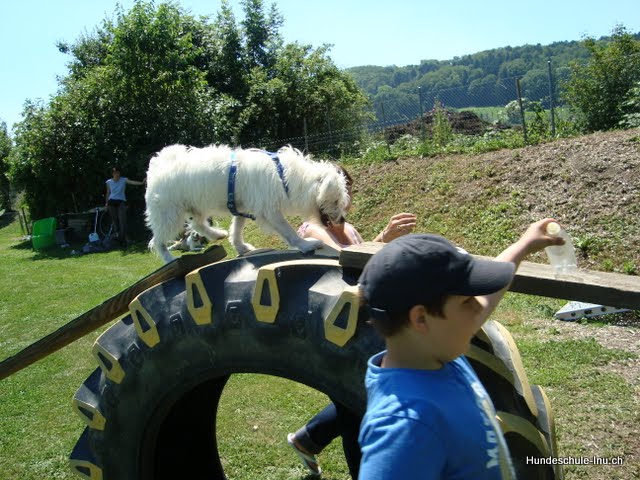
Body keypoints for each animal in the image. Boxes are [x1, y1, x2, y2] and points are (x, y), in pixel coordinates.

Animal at [145, 145, 350, 263]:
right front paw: (305, 245)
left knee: (197, 225)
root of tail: (158, 167)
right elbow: (288, 231)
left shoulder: (241, 208)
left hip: (195, 207)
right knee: (158, 241)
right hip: (169, 215)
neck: (284, 177)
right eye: (336, 200)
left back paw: (217, 234)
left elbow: (237, 229)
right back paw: (169, 259)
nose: (342, 220)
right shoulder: (269, 211)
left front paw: (240, 247)